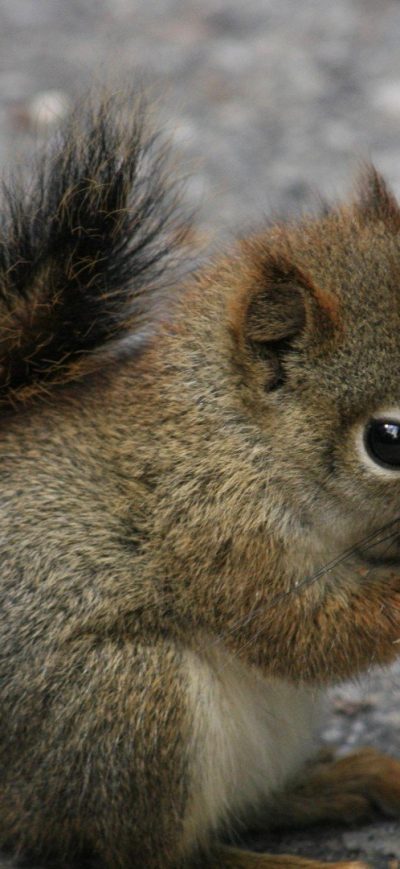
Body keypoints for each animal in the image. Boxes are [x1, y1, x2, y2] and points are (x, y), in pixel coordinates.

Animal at [1, 91, 400, 869]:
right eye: (387, 441)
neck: (237, 432)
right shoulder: (215, 528)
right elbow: (305, 632)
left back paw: (343, 782)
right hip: (125, 706)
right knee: (155, 854)